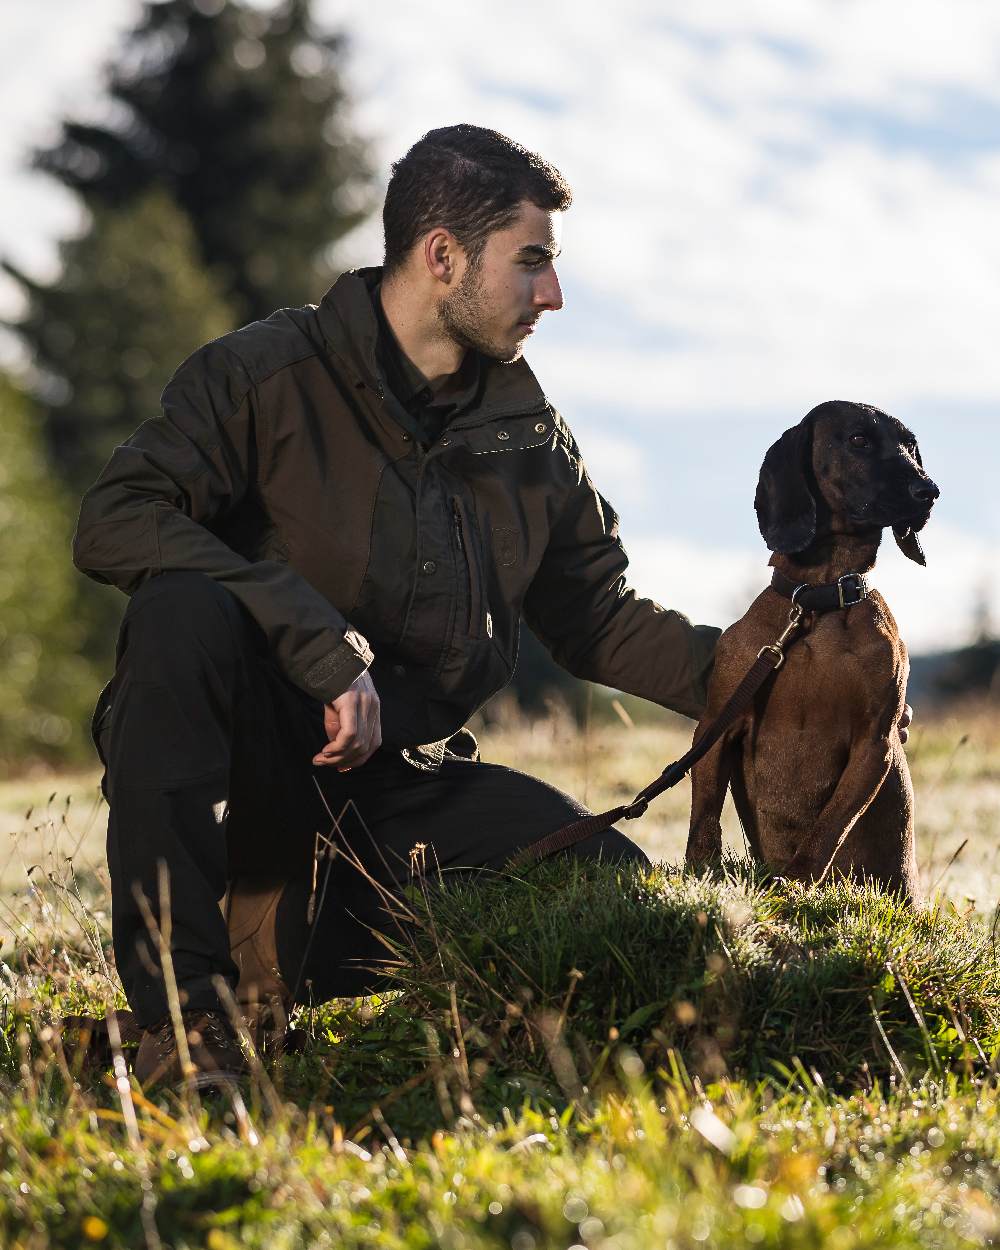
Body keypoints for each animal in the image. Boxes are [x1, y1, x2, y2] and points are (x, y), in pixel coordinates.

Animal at [685, 400, 940, 900]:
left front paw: (796, 884)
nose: (930, 490)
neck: (820, 601)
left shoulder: (874, 742)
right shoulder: (716, 724)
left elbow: (830, 829)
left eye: (911, 446)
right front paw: (699, 876)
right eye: (859, 439)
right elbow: (704, 816)